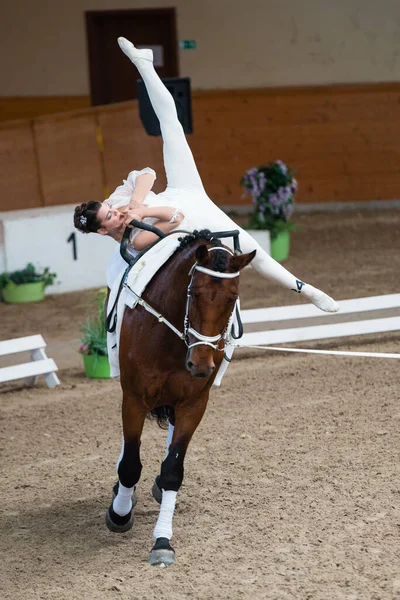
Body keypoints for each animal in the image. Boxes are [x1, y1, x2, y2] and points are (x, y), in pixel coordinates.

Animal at [106, 227, 256, 564]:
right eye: (195, 293)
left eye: (233, 298)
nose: (200, 365)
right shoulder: (134, 398)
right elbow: (130, 464)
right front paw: (120, 514)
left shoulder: (193, 403)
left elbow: (173, 468)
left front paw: (162, 541)